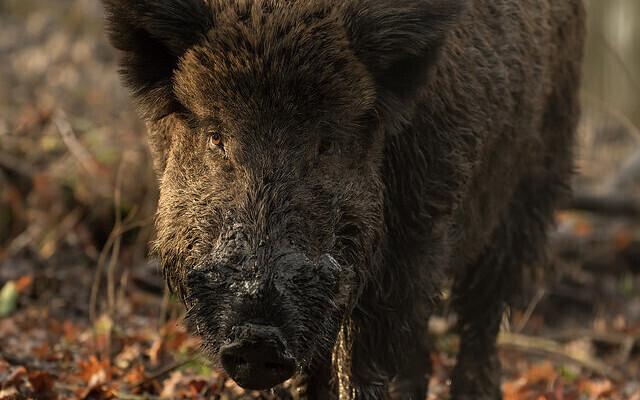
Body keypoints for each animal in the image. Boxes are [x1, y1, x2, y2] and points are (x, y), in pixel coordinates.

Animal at [102, 0, 585, 398]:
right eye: (216, 136)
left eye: (326, 143)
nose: (258, 338)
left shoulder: (416, 227)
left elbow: (365, 354)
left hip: (535, 180)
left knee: (482, 315)